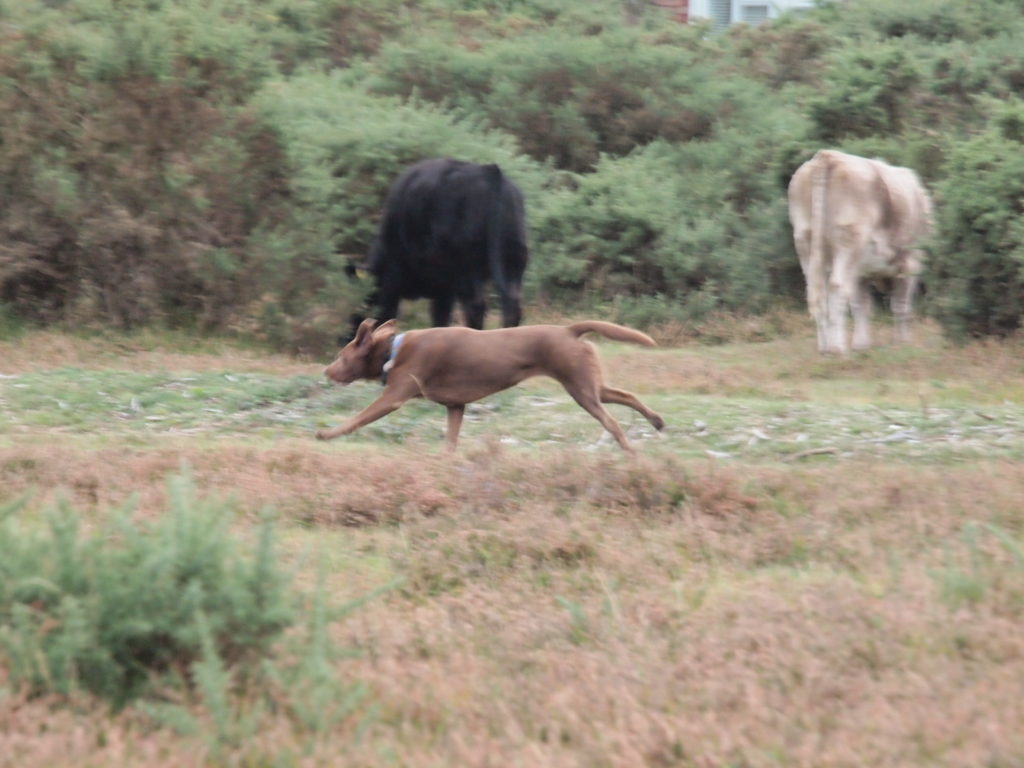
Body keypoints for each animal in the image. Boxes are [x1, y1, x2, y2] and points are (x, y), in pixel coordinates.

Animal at [358, 157, 529, 334]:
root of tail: (489, 171)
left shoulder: (392, 279)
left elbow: (388, 314)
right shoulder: (445, 289)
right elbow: (440, 317)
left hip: (467, 270)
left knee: (476, 307)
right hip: (514, 259)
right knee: (513, 306)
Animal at [787, 149, 933, 355]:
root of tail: (827, 155)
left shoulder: (860, 272)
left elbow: (861, 305)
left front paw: (861, 344)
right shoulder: (910, 264)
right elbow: (900, 304)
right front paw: (902, 341)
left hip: (805, 241)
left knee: (818, 291)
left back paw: (825, 347)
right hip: (849, 242)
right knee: (837, 286)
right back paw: (837, 348)